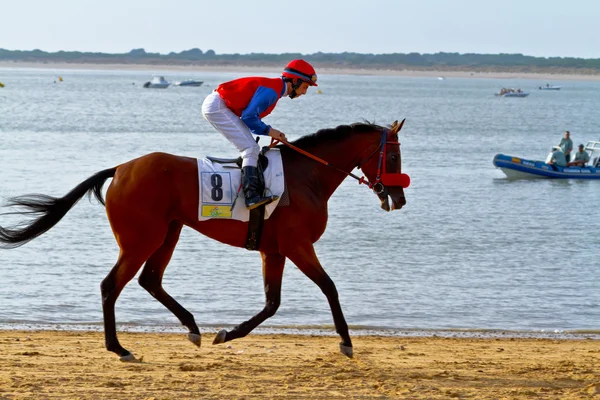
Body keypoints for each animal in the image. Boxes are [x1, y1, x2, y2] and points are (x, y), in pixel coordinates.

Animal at [0, 120, 410, 360]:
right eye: (392, 156)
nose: (399, 198)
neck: (306, 176)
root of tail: (121, 168)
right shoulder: (297, 247)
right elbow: (329, 287)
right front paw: (346, 341)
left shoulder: (274, 250)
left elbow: (272, 303)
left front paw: (227, 334)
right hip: (141, 238)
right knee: (111, 285)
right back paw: (118, 348)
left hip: (169, 231)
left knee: (150, 280)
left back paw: (193, 328)